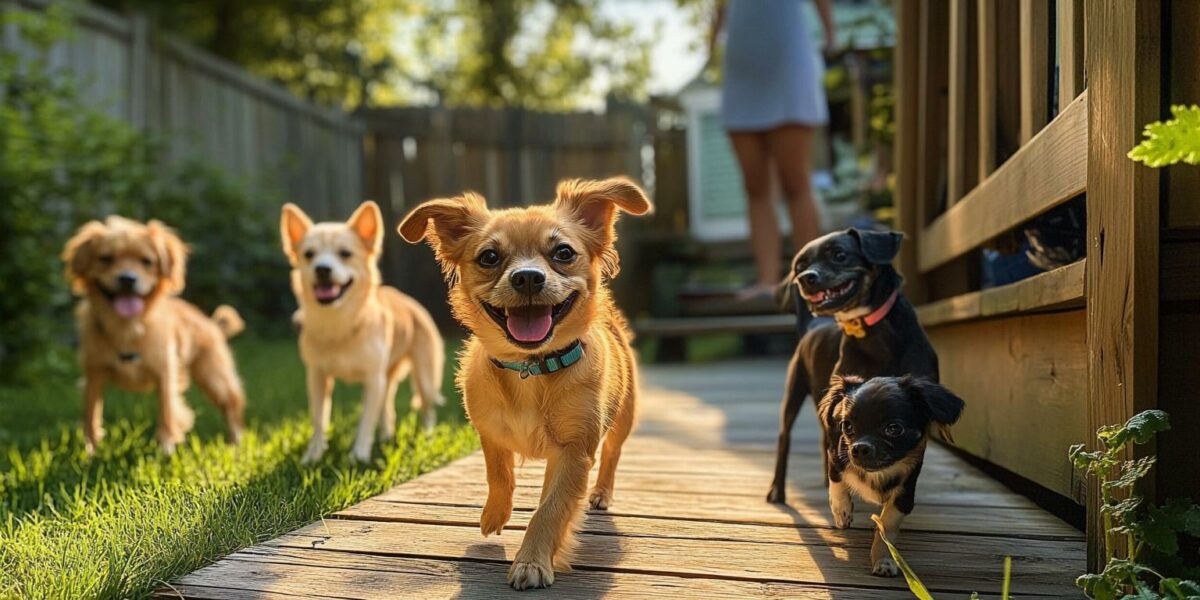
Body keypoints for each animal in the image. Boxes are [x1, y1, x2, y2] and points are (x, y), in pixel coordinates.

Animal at [64, 216, 247, 453]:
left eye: (146, 261)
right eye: (106, 258)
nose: (127, 279)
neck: (127, 328)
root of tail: (211, 322)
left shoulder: (165, 373)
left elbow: (167, 414)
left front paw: (166, 450)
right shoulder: (93, 373)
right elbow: (91, 416)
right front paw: (91, 452)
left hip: (214, 377)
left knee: (231, 408)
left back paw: (236, 444)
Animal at [280, 200, 446, 463]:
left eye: (345, 254)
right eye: (309, 255)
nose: (322, 269)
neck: (339, 325)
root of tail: (410, 303)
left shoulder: (372, 380)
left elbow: (366, 421)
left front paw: (358, 456)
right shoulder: (317, 377)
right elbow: (318, 419)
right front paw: (313, 455)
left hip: (426, 378)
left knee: (427, 408)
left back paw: (427, 436)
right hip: (388, 378)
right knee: (387, 407)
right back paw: (386, 436)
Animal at [398, 175, 652, 588]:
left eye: (563, 252)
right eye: (489, 257)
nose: (529, 277)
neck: (531, 369)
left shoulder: (573, 453)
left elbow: (549, 510)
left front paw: (531, 562)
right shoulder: (488, 430)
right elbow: (498, 472)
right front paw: (494, 514)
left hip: (623, 418)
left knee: (612, 453)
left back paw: (601, 492)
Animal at [763, 226, 940, 504]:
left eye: (839, 255)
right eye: (800, 266)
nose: (804, 278)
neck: (870, 329)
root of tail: (812, 326)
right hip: (794, 393)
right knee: (785, 438)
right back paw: (778, 491)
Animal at [820, 374, 960, 576]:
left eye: (894, 428)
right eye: (847, 426)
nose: (859, 448)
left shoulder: (905, 492)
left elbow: (886, 526)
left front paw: (883, 559)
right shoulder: (836, 453)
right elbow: (836, 479)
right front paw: (842, 511)